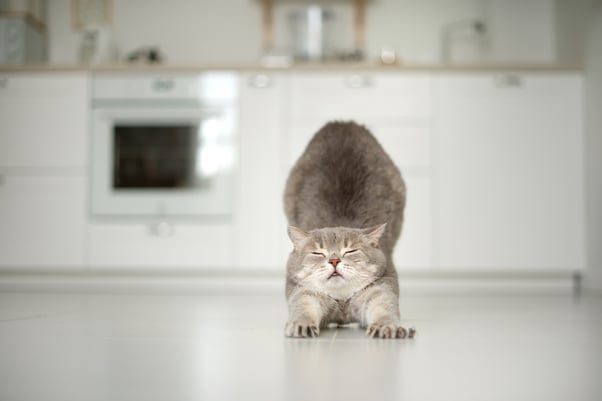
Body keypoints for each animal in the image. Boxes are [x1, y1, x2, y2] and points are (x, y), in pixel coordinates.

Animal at [282, 119, 412, 338]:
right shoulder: (304, 291)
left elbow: (384, 307)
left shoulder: (380, 288)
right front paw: (301, 324)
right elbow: (303, 307)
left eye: (351, 251)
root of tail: (341, 122)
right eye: (318, 253)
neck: (341, 301)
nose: (334, 260)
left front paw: (387, 325)